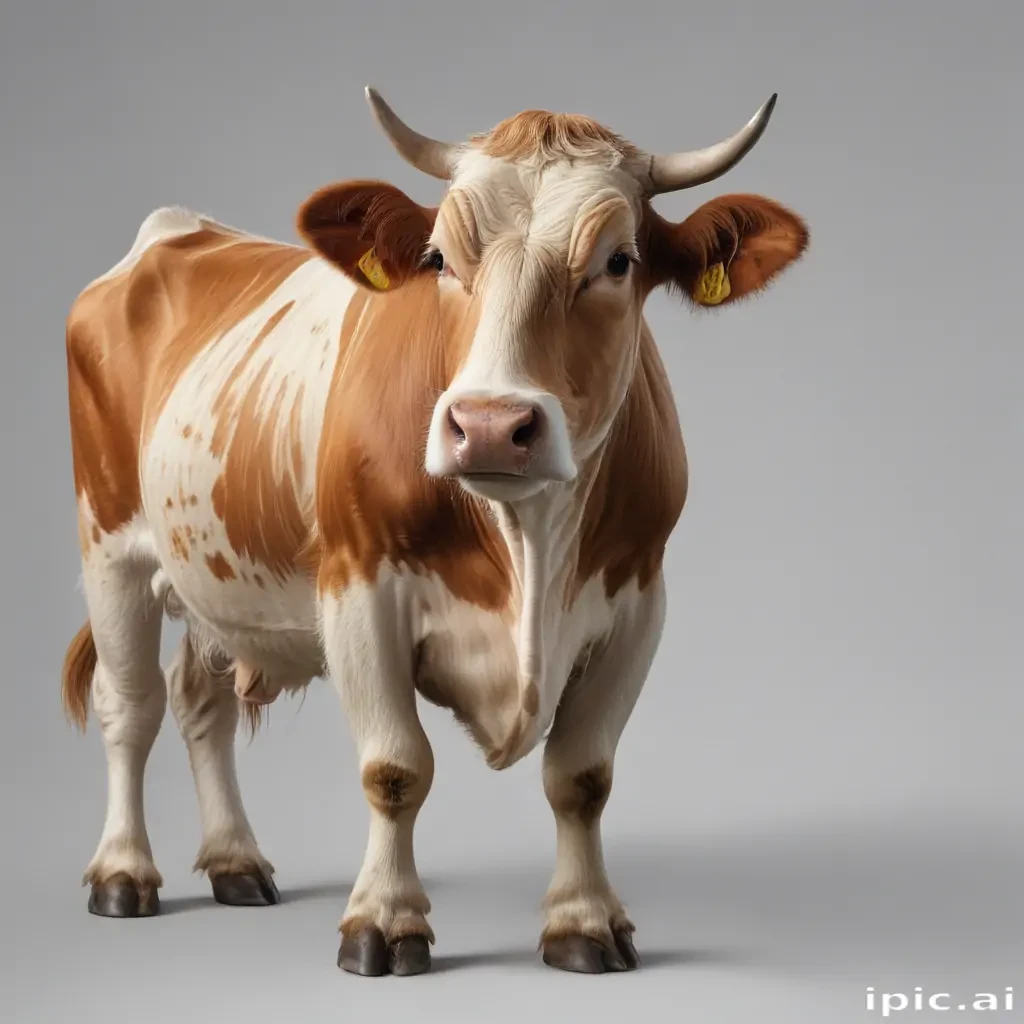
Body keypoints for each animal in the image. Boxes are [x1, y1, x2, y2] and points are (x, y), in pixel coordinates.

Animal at [61, 86, 808, 976]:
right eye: (440, 258)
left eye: (619, 261)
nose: (489, 425)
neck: (526, 545)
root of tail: (177, 231)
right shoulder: (358, 588)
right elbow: (395, 769)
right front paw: (383, 922)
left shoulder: (637, 602)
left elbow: (582, 777)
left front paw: (584, 922)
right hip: (110, 547)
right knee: (129, 706)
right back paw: (122, 872)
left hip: (216, 580)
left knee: (198, 700)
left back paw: (235, 862)